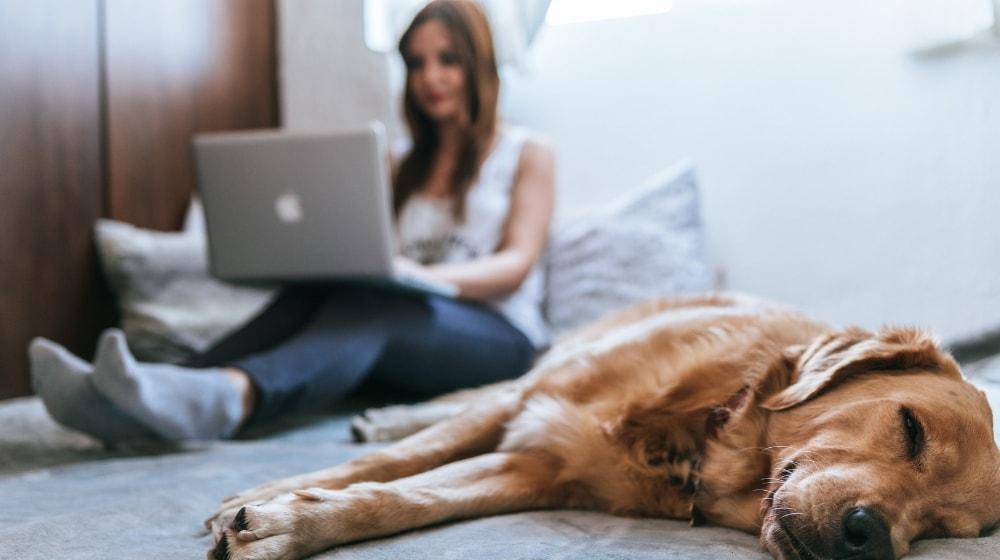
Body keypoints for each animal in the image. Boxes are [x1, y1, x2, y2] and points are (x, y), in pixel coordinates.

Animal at [205, 296, 1000, 556]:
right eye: (910, 428)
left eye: (942, 529)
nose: (870, 538)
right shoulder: (531, 405)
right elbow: (393, 467)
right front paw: (269, 496)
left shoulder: (533, 468)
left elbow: (405, 497)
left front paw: (288, 523)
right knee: (464, 397)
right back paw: (384, 415)